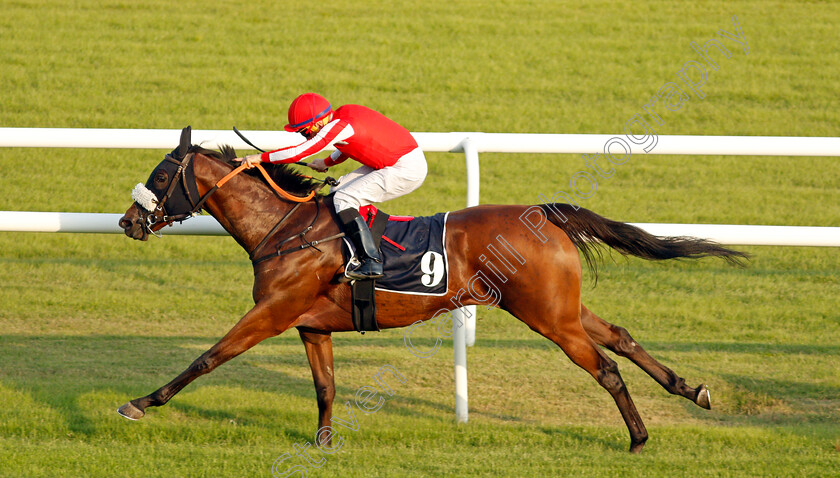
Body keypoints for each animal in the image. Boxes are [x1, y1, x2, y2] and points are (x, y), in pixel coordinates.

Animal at [116, 126, 740, 452]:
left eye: (160, 175)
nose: (128, 221)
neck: (285, 229)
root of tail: (543, 213)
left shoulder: (272, 313)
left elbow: (207, 357)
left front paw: (140, 403)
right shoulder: (311, 325)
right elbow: (325, 387)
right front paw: (324, 442)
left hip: (547, 315)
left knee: (605, 367)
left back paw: (638, 437)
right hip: (561, 306)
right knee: (622, 337)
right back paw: (692, 390)